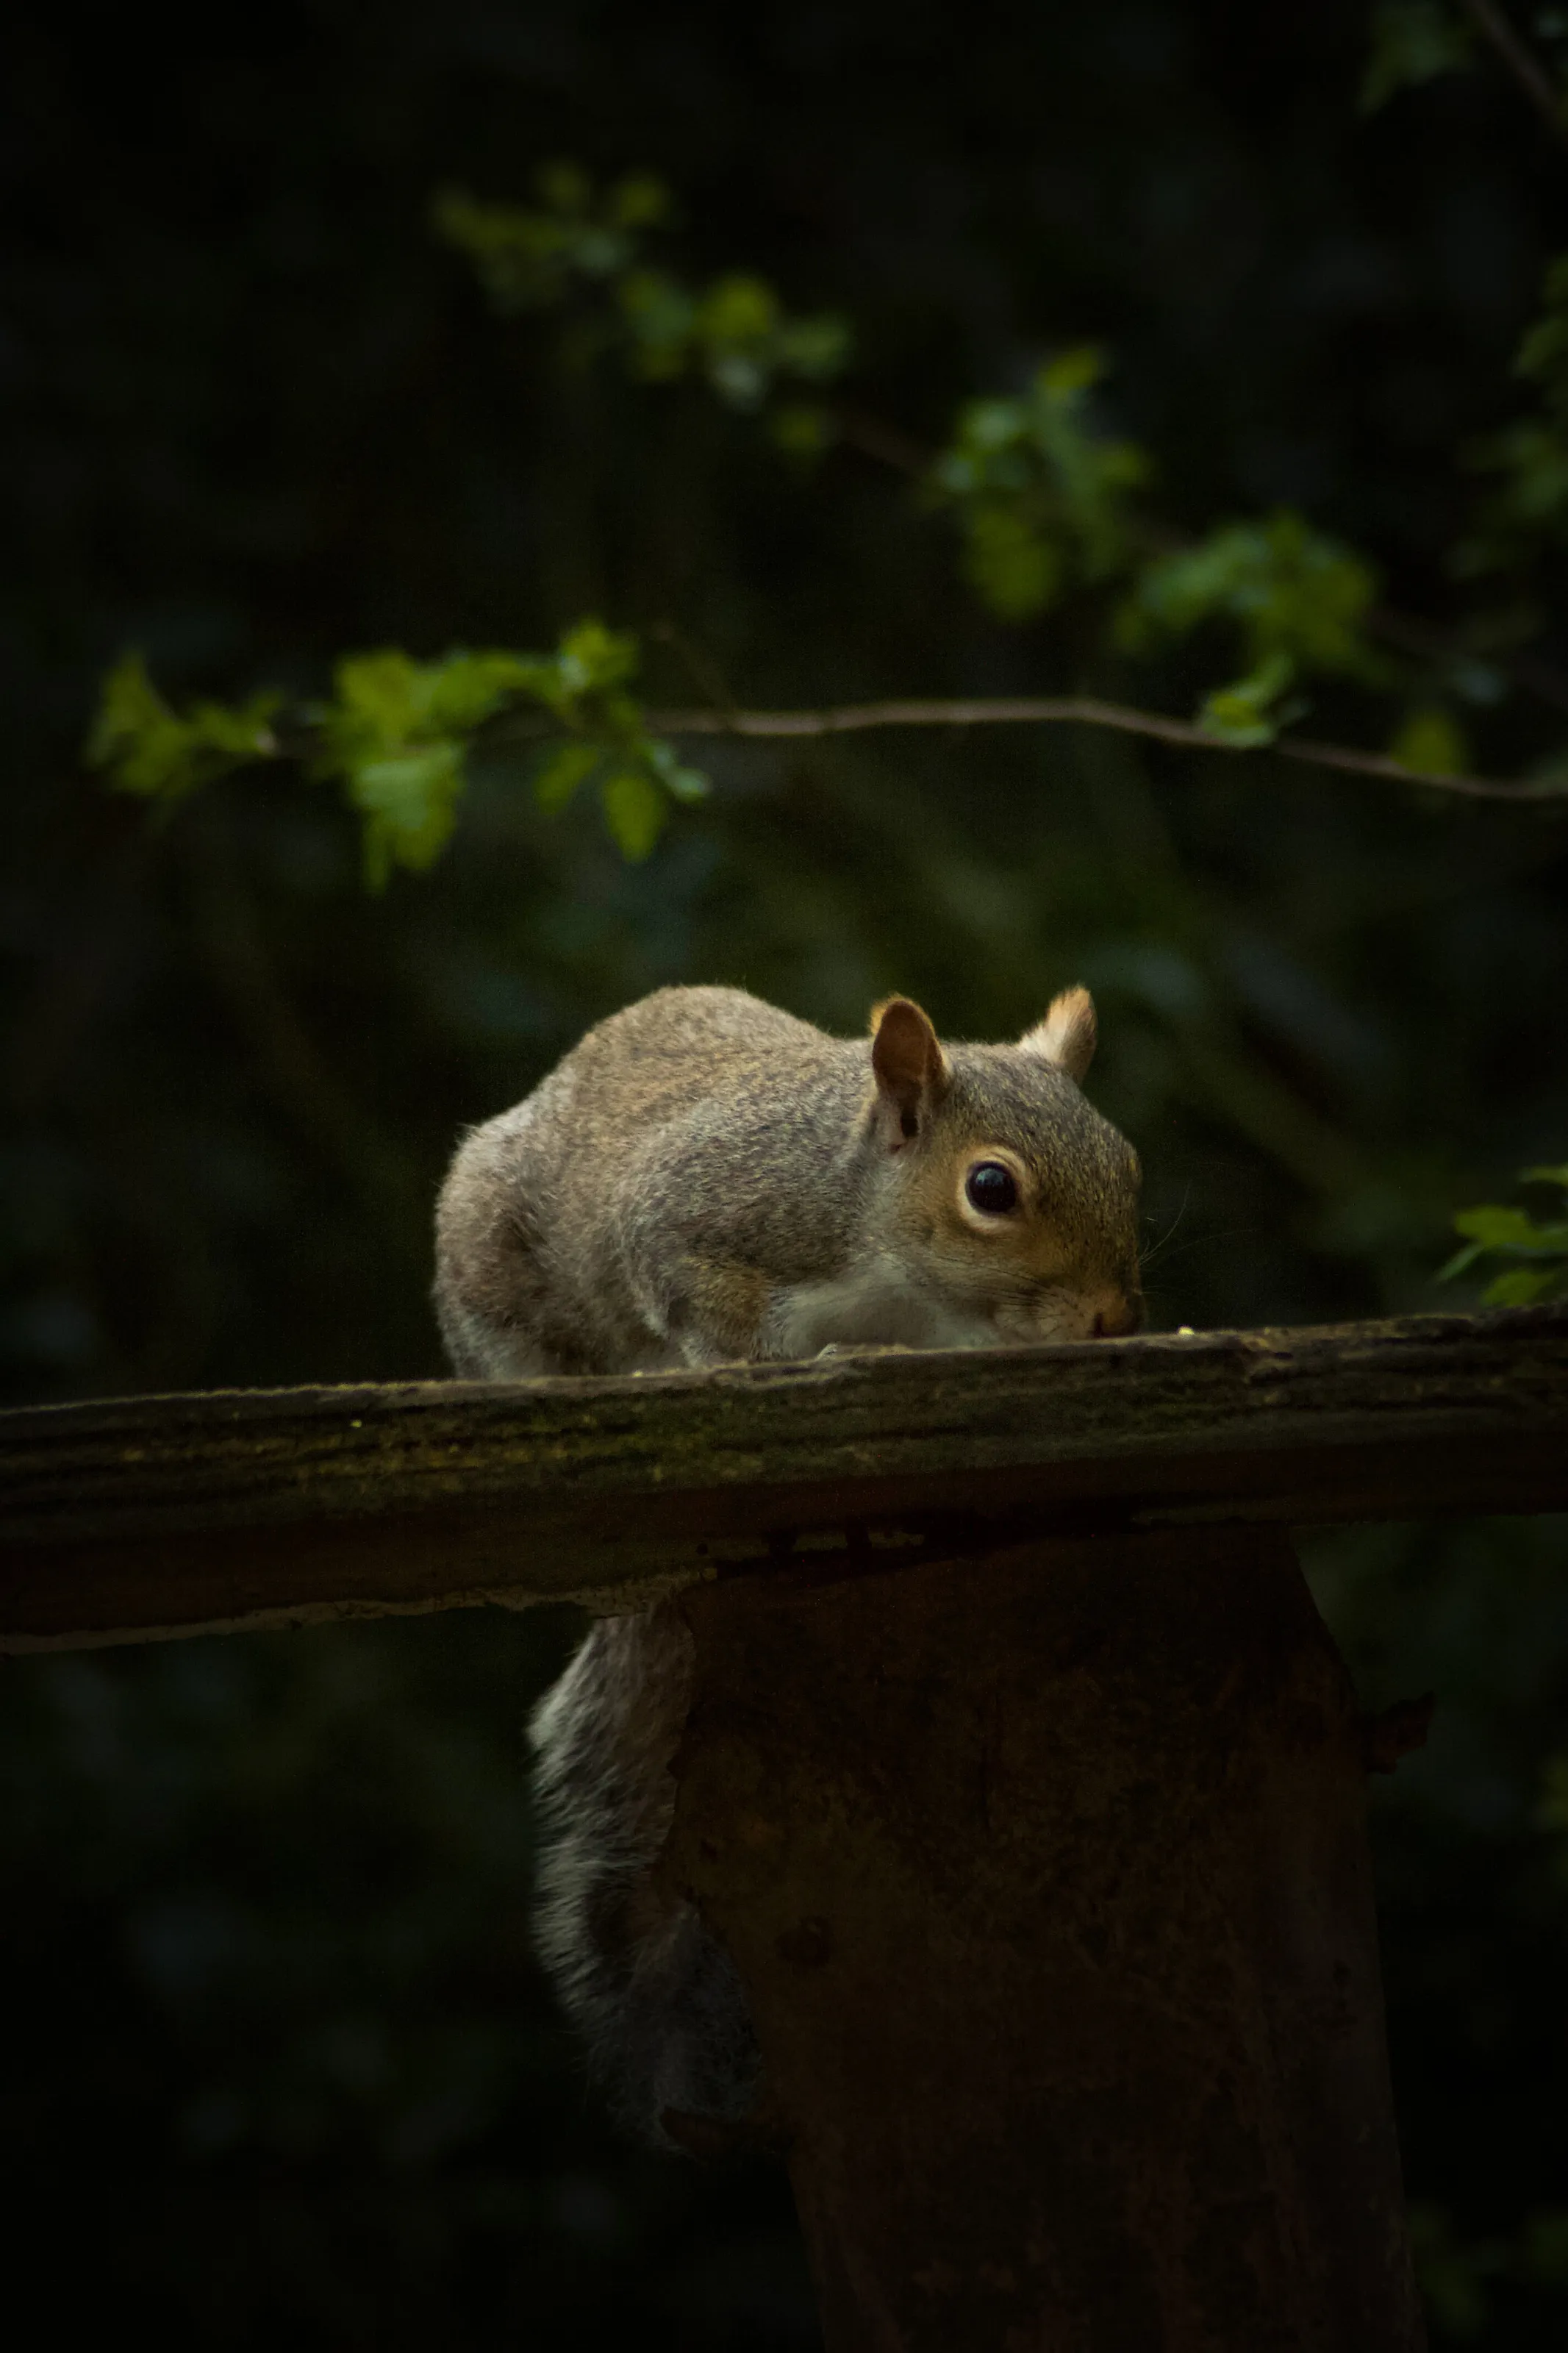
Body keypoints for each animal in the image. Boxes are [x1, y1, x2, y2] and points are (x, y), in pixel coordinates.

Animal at [433, 983, 1144, 2140]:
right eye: (990, 1188)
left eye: (1128, 1162)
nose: (1112, 1320)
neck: (894, 1274)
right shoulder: (702, 1224)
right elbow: (711, 1312)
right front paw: (777, 1364)